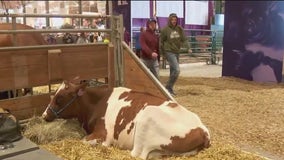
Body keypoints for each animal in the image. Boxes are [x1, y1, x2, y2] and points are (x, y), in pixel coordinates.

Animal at [42, 80, 211, 159]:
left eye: (60, 98)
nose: (44, 115)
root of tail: (202, 129)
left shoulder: (103, 134)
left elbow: (85, 141)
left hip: (146, 119)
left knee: (137, 154)